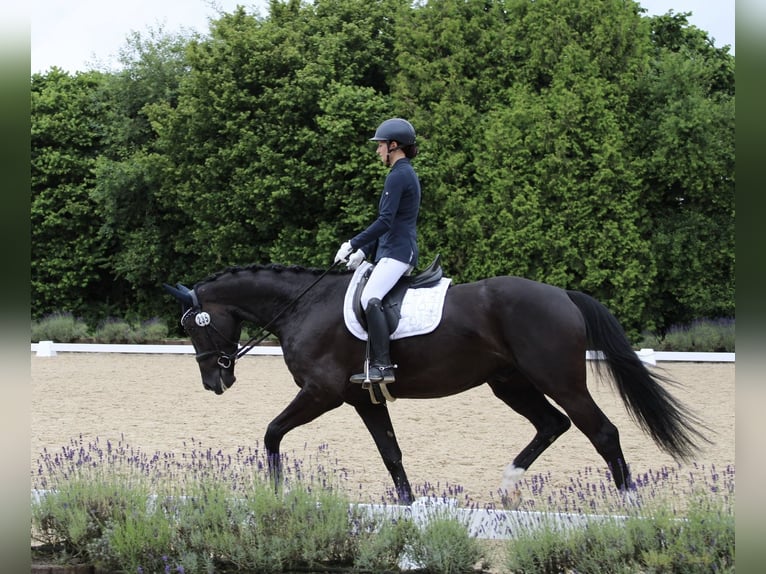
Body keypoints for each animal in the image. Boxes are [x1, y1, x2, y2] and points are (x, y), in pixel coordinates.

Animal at [165, 264, 712, 506]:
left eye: (195, 325)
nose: (214, 381)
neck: (303, 307)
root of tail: (562, 295)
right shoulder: (360, 398)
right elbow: (391, 451)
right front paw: (408, 506)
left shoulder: (322, 393)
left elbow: (272, 432)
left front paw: (277, 494)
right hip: (509, 383)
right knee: (552, 425)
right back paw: (507, 484)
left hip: (558, 379)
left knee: (600, 431)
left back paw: (627, 504)